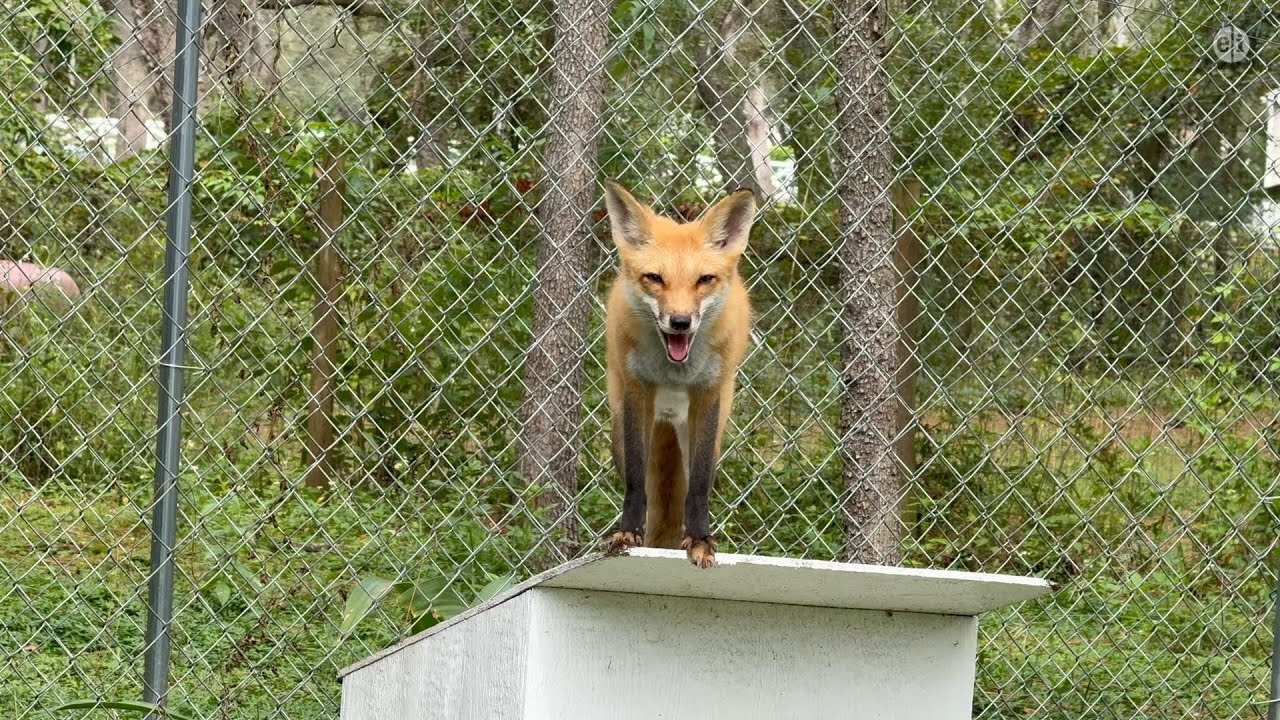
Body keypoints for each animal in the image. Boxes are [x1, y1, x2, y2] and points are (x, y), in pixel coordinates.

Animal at [601, 180, 756, 569]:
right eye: (655, 278)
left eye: (704, 280)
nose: (681, 321)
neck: (675, 372)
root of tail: (670, 415)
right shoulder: (637, 391)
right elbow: (636, 481)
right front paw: (628, 534)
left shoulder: (709, 394)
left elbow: (698, 486)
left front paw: (700, 540)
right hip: (619, 428)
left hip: (709, 435)